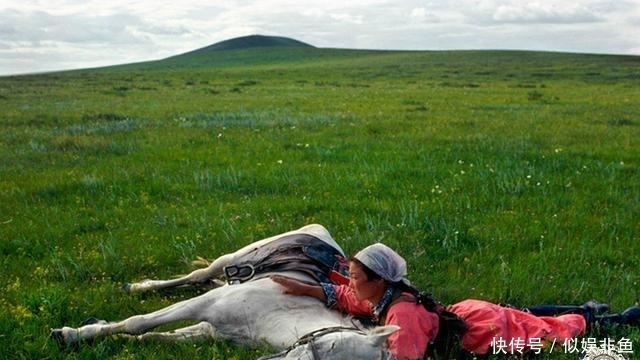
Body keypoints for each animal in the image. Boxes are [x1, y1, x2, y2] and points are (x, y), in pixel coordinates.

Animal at [51, 224, 400, 358]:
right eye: (324, 350)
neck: (278, 313)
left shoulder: (211, 330)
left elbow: (155, 337)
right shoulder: (204, 305)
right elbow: (139, 323)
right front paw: (70, 334)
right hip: (231, 258)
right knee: (199, 274)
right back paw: (138, 286)